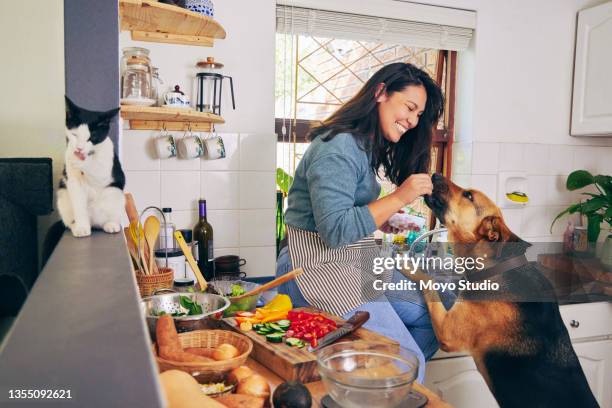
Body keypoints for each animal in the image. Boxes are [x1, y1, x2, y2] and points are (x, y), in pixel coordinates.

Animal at [57, 97, 125, 237]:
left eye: (92, 137)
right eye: (75, 135)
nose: (79, 148)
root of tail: (93, 223)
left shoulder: (106, 169)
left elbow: (98, 171)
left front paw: (83, 163)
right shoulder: (74, 182)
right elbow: (79, 205)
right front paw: (82, 227)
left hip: (115, 193)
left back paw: (111, 224)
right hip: (63, 196)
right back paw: (76, 226)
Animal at [412, 175, 596, 408]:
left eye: (468, 195)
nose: (434, 175)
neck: (497, 267)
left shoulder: (447, 332)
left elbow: (427, 280)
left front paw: (403, 263)